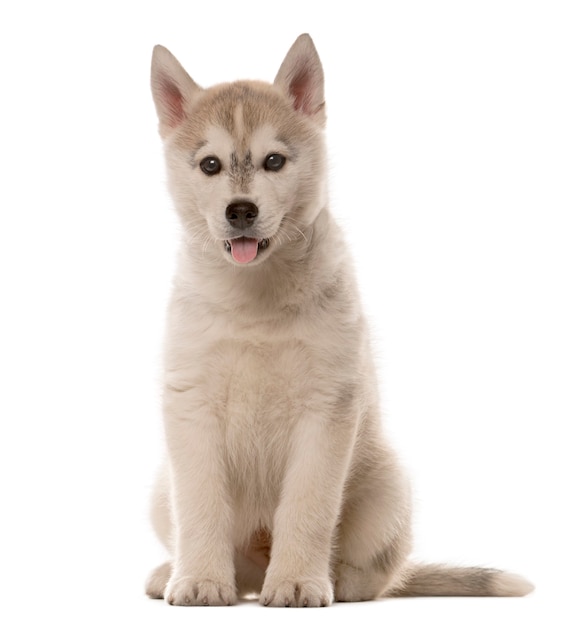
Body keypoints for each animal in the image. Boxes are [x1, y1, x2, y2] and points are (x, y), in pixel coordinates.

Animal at [145, 33, 536, 604]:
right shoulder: (191, 407)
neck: (255, 297)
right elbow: (199, 507)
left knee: (383, 574)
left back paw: (338, 580)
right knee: (233, 561)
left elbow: (308, 508)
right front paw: (199, 581)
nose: (240, 210)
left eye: (274, 161)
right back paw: (177, 573)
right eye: (210, 165)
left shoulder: (328, 407)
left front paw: (297, 582)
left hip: (389, 485)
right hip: (161, 488)